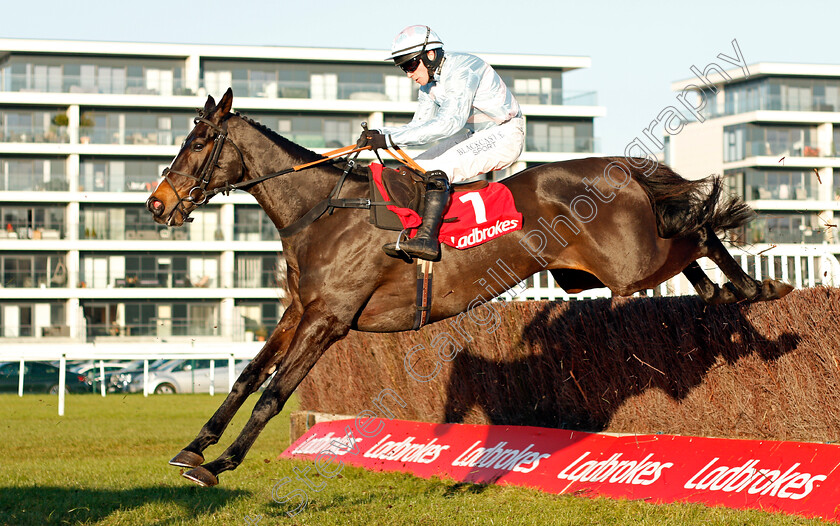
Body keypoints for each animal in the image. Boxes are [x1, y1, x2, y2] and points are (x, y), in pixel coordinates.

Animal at [141, 88, 792, 488]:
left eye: (196, 143)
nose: (157, 203)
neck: (322, 210)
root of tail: (623, 166)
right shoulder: (298, 312)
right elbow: (247, 377)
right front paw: (194, 447)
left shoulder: (330, 319)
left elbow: (273, 393)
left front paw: (220, 463)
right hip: (616, 264)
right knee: (690, 238)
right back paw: (727, 295)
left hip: (630, 262)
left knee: (699, 230)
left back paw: (759, 294)